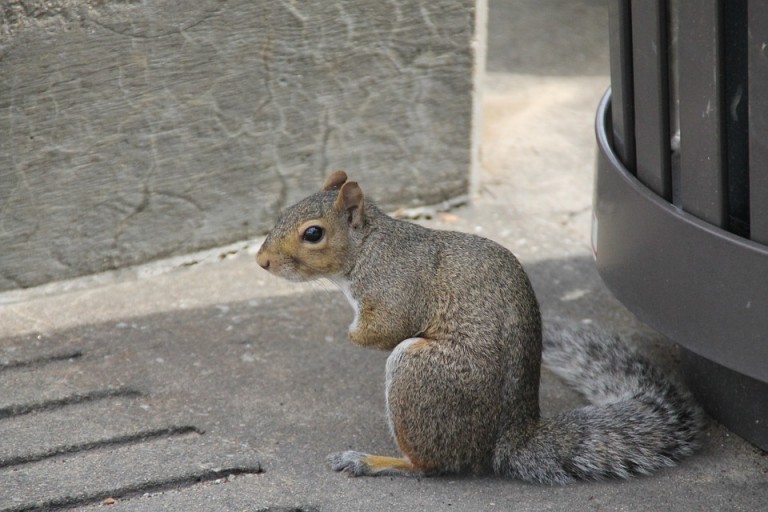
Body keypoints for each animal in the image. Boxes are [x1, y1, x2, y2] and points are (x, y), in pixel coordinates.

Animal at [256, 171, 704, 484]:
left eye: (313, 233)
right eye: (281, 214)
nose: (261, 261)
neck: (369, 247)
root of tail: (507, 438)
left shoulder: (395, 289)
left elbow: (385, 328)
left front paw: (349, 334)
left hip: (418, 374)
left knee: (432, 464)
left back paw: (372, 461)